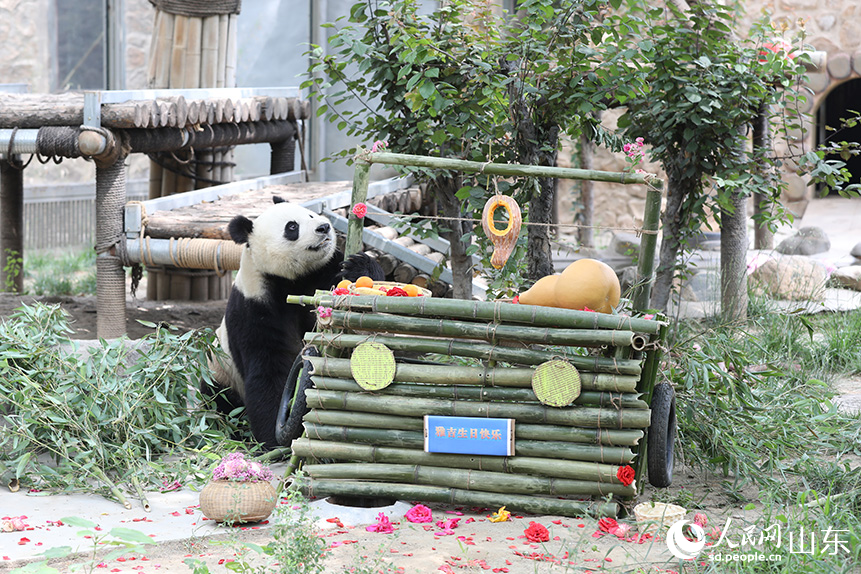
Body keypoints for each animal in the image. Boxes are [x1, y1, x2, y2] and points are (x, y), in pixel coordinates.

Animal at [207, 198, 382, 450]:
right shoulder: (256, 307)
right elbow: (269, 370)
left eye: (311, 215)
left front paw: (358, 267)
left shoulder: (324, 272)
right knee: (219, 400)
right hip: (219, 372)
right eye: (292, 227)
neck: (295, 279)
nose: (324, 227)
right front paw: (276, 441)